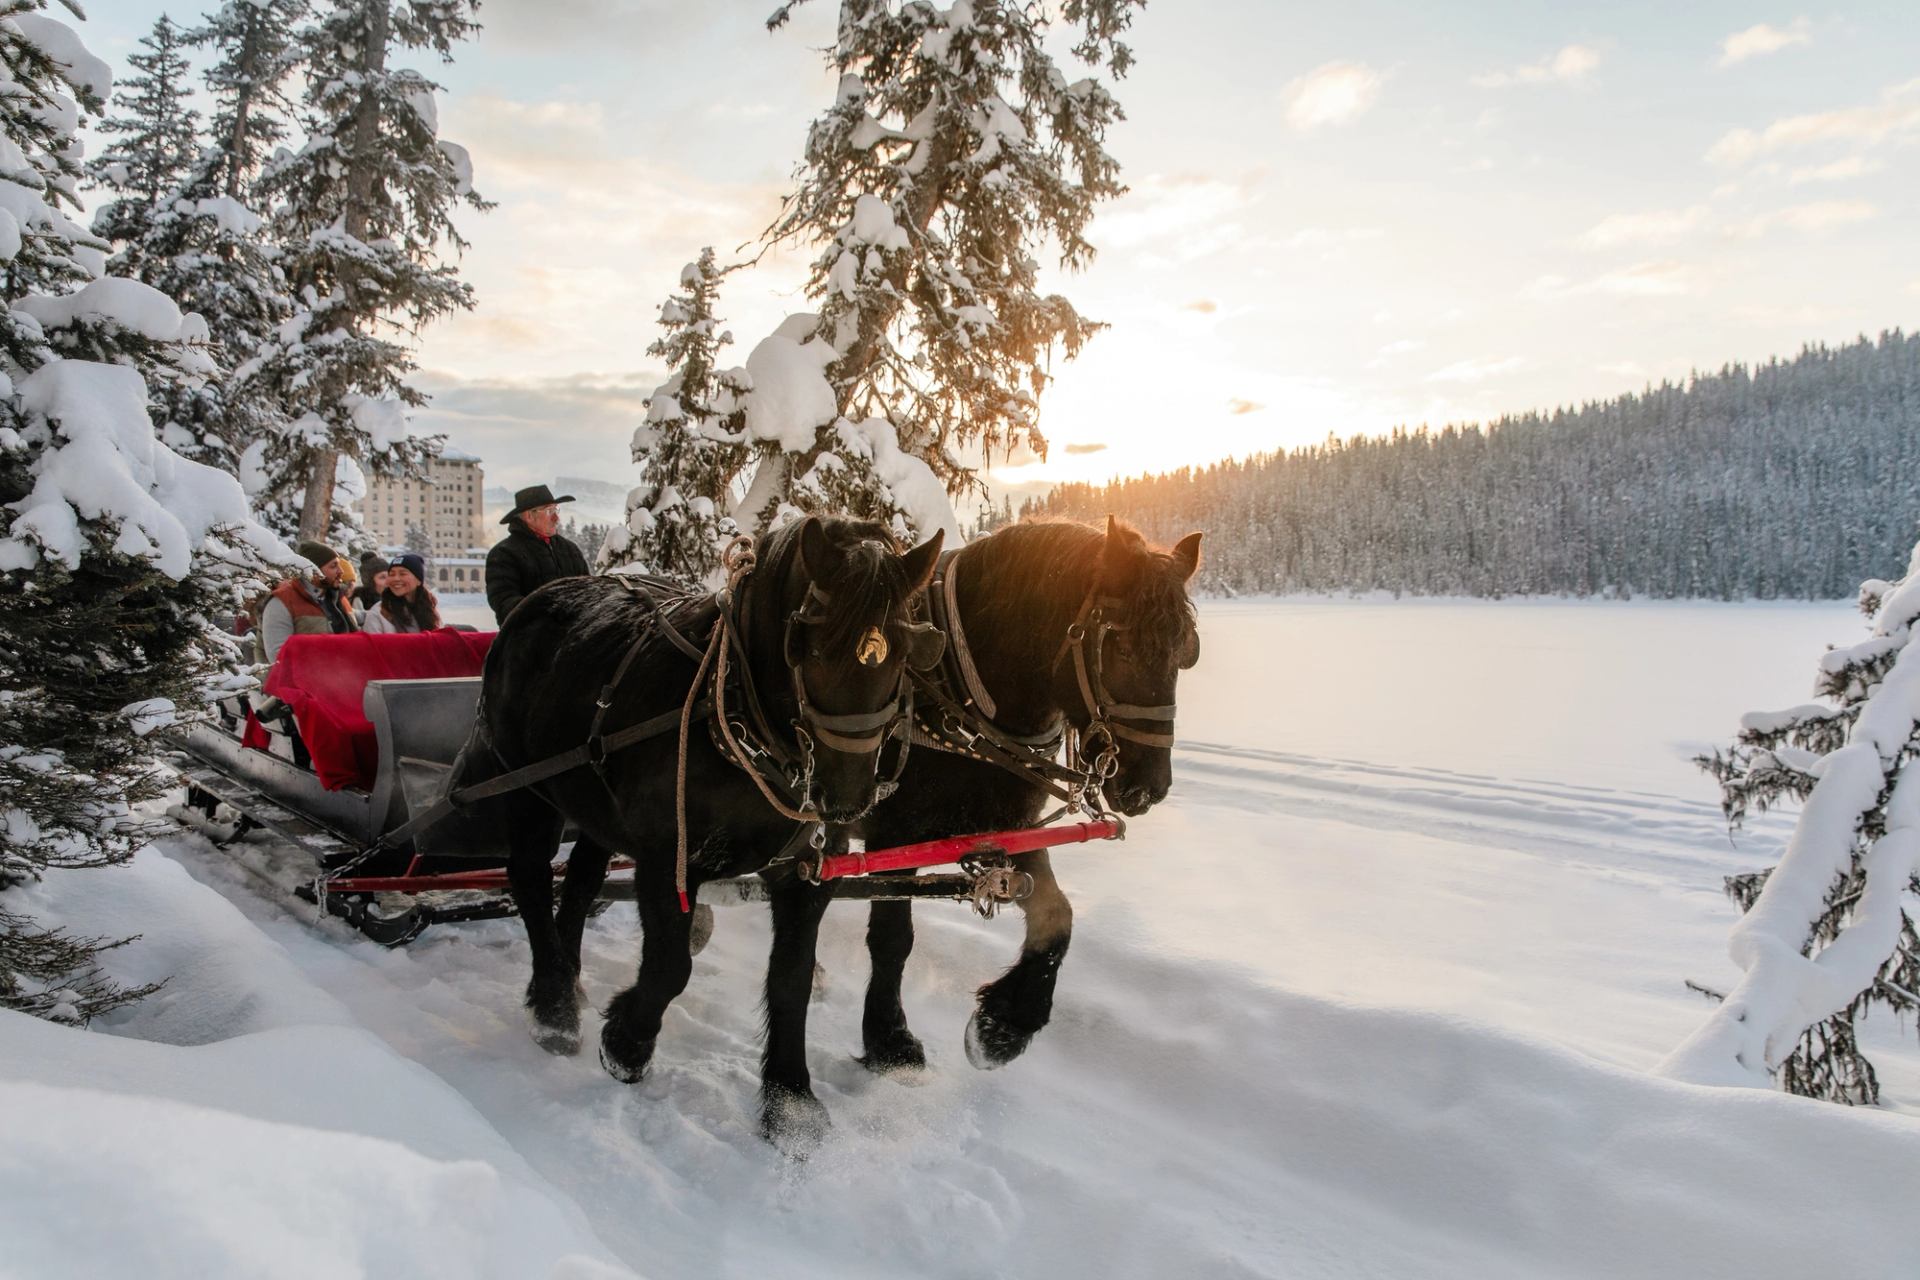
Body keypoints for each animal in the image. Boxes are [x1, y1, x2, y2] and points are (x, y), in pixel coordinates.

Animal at [464, 514, 944, 1143]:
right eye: (807, 646)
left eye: (906, 653)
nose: (845, 796)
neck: (736, 716)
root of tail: (537, 601)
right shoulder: (668, 857)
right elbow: (671, 966)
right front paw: (626, 1042)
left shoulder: (807, 871)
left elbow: (791, 980)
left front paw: (790, 1100)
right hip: (526, 788)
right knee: (529, 879)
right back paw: (554, 1009)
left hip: (594, 808)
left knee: (580, 885)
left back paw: (568, 979)